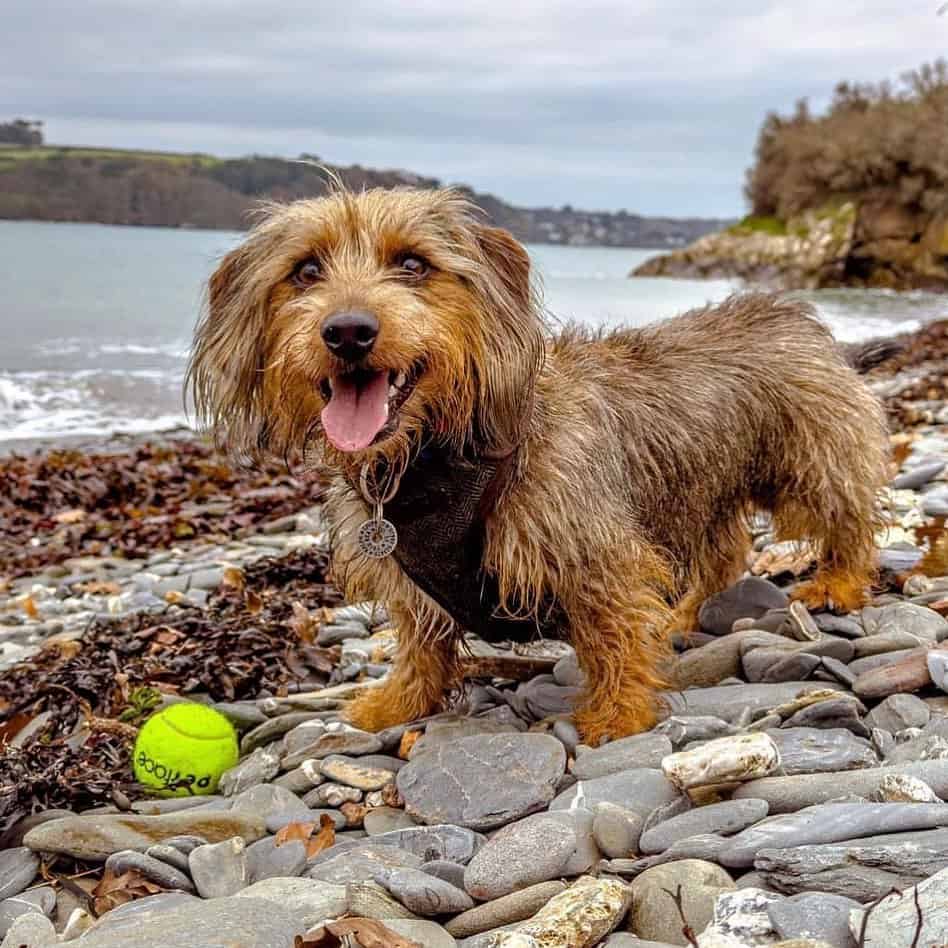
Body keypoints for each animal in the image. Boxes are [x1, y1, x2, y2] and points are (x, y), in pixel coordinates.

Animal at [191, 187, 888, 748]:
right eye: (305, 270)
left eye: (412, 264)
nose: (348, 331)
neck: (436, 454)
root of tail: (790, 312)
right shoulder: (410, 576)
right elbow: (419, 643)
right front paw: (399, 703)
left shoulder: (593, 553)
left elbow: (612, 636)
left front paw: (618, 715)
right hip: (701, 486)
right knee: (722, 553)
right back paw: (686, 612)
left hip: (810, 463)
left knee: (847, 520)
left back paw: (838, 583)